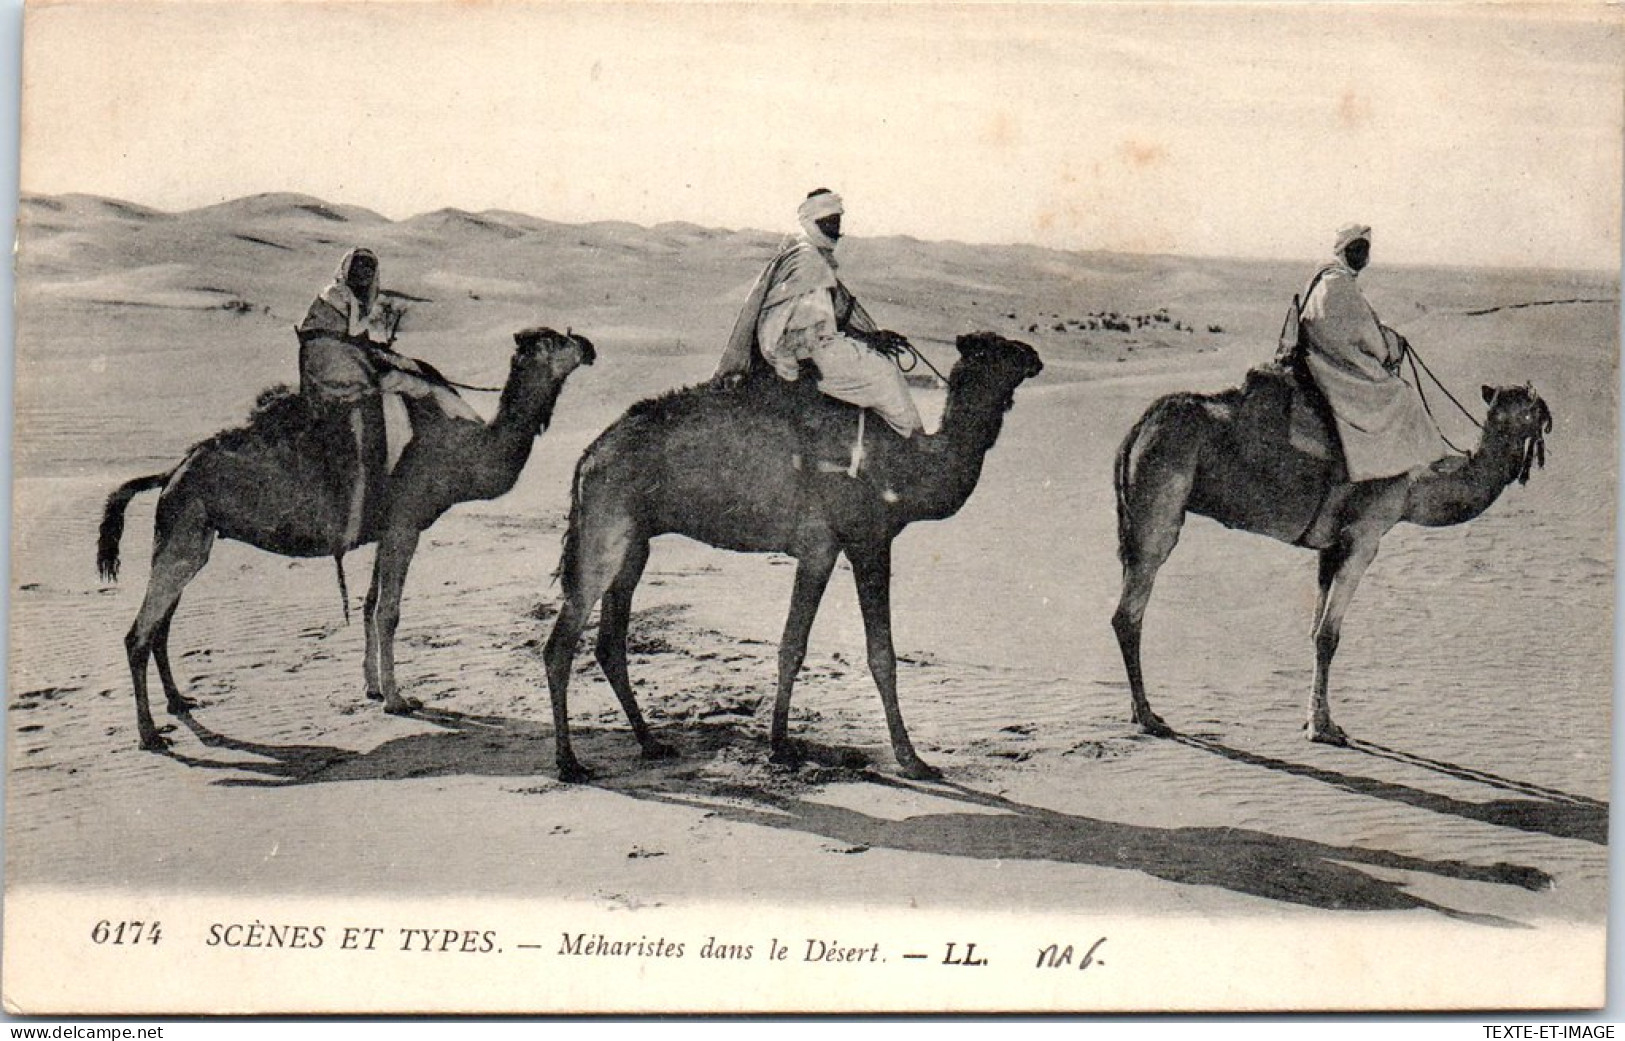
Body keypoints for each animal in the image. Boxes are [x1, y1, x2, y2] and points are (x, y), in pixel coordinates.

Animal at [95, 324, 594, 747]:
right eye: (553, 339)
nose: (588, 345)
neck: (460, 450)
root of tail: (171, 473)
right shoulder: (404, 526)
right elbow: (389, 612)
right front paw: (399, 699)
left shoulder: (384, 531)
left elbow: (370, 603)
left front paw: (372, 687)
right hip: (183, 534)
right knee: (138, 634)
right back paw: (151, 735)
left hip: (190, 536)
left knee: (161, 627)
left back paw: (179, 703)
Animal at [542, 332, 1040, 779]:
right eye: (1000, 349)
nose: (1035, 356)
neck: (908, 467)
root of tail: (587, 457)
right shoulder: (862, 540)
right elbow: (871, 654)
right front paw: (911, 760)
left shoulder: (823, 548)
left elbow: (794, 645)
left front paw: (780, 745)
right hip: (606, 528)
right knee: (561, 643)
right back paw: (570, 763)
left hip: (634, 544)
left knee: (610, 644)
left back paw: (652, 743)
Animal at [1118, 376, 1547, 743]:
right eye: (1528, 408)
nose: (1546, 418)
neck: (1415, 488)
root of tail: (1137, 430)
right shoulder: (1364, 537)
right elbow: (1329, 636)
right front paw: (1323, 729)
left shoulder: (1330, 547)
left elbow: (1314, 631)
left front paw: (1316, 718)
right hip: (1160, 504)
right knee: (1129, 613)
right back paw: (1148, 717)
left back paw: (1141, 713)